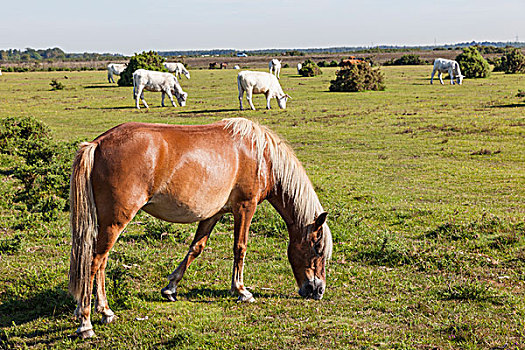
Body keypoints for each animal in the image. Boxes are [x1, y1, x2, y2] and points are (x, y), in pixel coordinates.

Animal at [69, 118, 332, 340]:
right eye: (317, 250)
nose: (317, 290)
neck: (262, 156)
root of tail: (97, 144)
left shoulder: (213, 214)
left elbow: (196, 248)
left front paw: (170, 288)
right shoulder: (245, 207)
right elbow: (240, 248)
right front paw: (241, 291)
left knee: (101, 263)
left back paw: (105, 311)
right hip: (115, 222)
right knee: (94, 262)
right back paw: (86, 322)